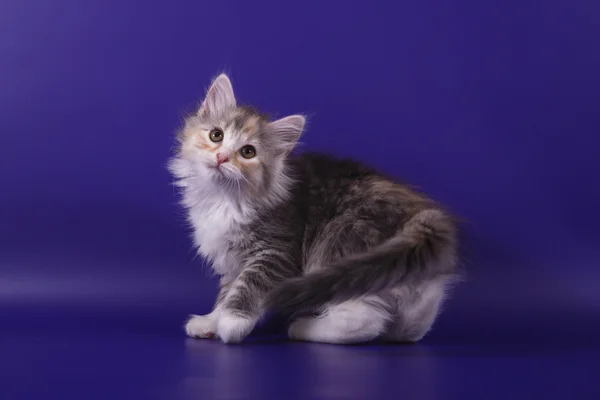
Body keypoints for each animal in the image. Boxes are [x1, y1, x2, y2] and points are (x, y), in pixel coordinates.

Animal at [168, 72, 460, 344]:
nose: (222, 157)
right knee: (415, 317)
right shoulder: (233, 260)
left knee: (364, 320)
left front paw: (232, 323)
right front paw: (211, 322)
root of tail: (420, 212)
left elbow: (249, 285)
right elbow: (228, 291)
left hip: (341, 243)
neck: (223, 198)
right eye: (216, 135)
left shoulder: (277, 250)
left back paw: (305, 328)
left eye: (248, 152)